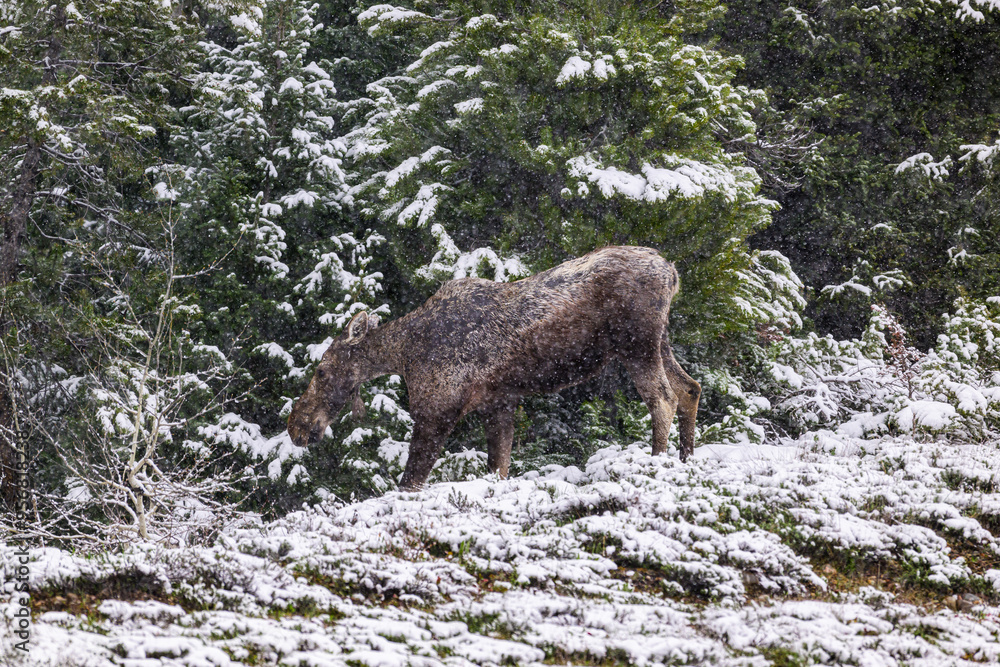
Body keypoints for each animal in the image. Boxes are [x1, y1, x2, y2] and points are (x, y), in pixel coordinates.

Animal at [287, 246, 701, 490]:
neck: (405, 355)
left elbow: (410, 480)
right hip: (658, 341)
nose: (297, 427)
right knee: (689, 388)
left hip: (636, 343)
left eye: (321, 371)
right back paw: (686, 460)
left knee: (663, 398)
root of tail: (672, 271)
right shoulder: (499, 403)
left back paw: (655, 464)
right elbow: (499, 467)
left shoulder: (437, 410)